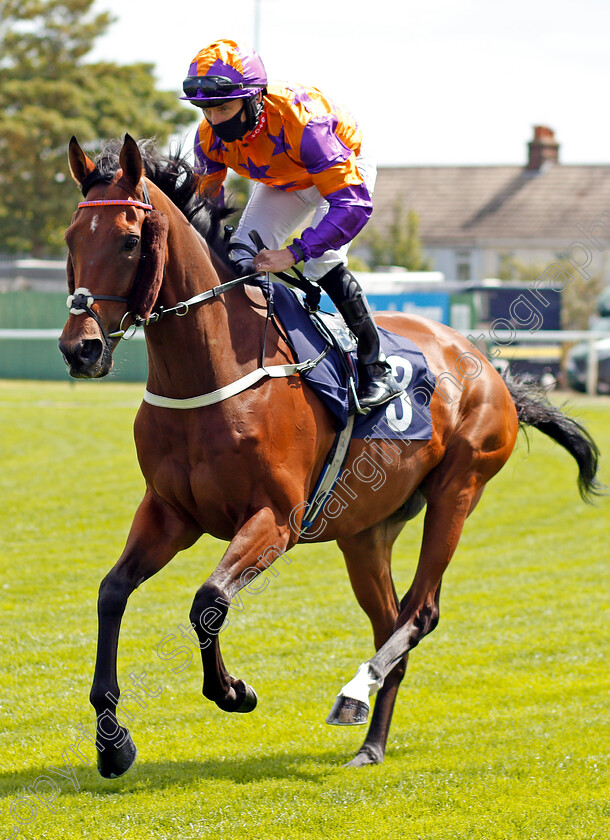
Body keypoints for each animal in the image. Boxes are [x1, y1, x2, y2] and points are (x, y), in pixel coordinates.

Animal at [59, 135, 600, 776]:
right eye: (71, 238)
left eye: (128, 239)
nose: (80, 348)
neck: (214, 372)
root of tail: (488, 368)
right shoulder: (171, 513)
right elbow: (111, 593)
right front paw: (113, 742)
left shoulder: (277, 519)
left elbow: (208, 600)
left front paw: (233, 691)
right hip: (365, 531)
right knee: (390, 620)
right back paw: (371, 743)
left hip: (457, 491)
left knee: (420, 613)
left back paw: (353, 693)